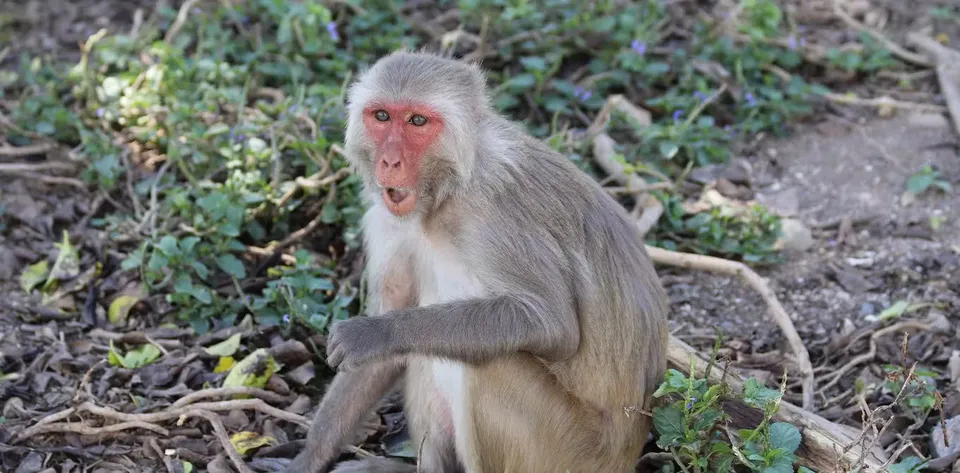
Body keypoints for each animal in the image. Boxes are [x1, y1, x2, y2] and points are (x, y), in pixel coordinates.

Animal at [281, 50, 670, 473]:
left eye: (417, 121)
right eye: (381, 116)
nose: (389, 161)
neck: (445, 194)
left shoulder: (495, 212)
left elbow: (550, 322)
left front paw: (373, 334)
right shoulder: (388, 221)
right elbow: (385, 346)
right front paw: (309, 456)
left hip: (572, 452)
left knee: (487, 363)